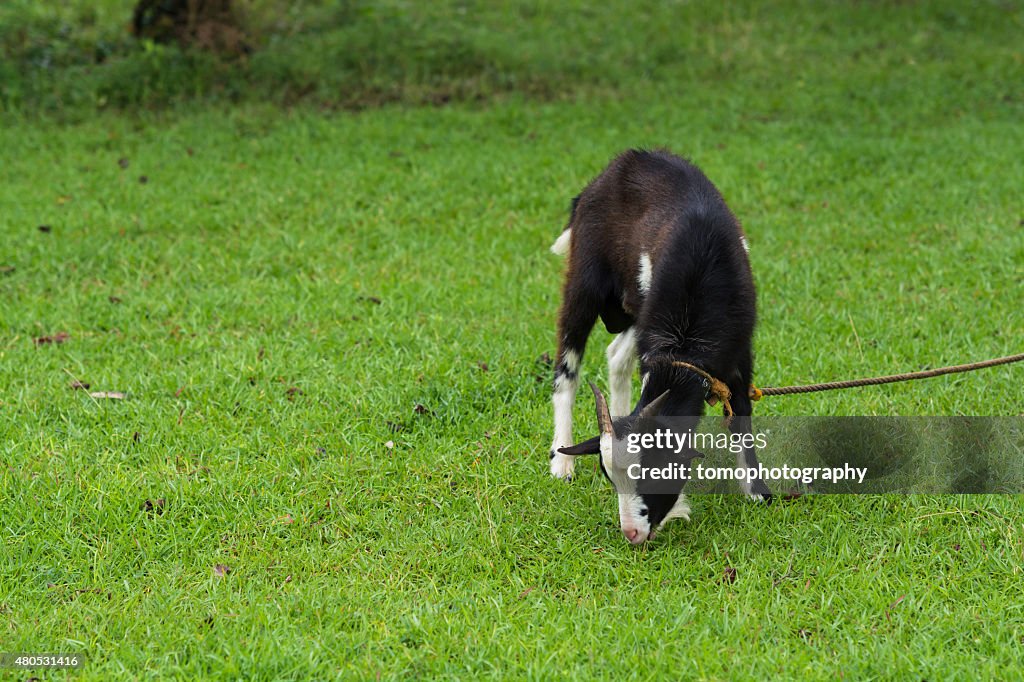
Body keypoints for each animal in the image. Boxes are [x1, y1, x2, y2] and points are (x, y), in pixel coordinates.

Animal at [548, 147, 770, 540]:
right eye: (611, 478)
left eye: (654, 471)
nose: (632, 533)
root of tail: (607, 175)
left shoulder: (740, 347)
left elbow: (741, 410)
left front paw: (757, 492)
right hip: (585, 281)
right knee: (567, 367)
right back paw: (561, 463)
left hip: (636, 311)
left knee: (616, 355)